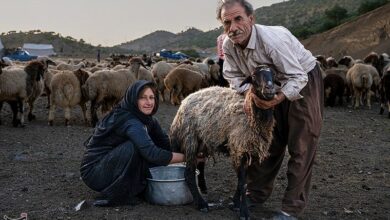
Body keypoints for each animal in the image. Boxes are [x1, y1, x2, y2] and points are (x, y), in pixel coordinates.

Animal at [169, 65, 276, 220]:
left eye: (274, 74)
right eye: (254, 76)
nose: (269, 89)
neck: (252, 116)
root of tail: (186, 100)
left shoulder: (248, 149)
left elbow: (242, 180)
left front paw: (236, 203)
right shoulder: (239, 147)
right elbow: (243, 183)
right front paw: (244, 211)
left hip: (203, 140)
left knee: (200, 166)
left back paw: (203, 188)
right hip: (190, 139)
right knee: (188, 174)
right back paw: (201, 204)